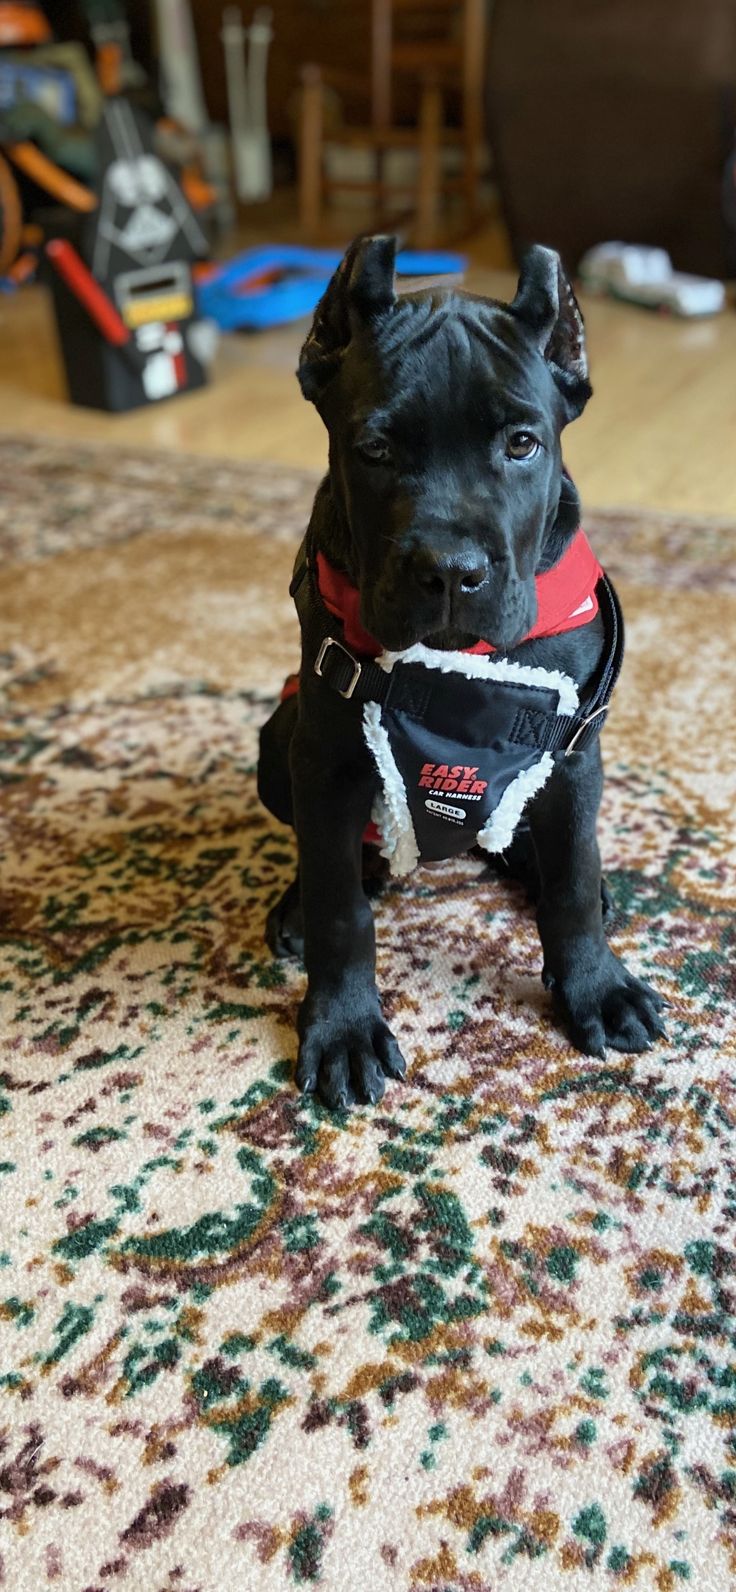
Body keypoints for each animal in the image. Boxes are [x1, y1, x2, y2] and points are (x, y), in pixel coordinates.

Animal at [258, 232, 662, 1108]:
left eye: (522, 444)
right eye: (374, 451)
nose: (450, 571)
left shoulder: (573, 755)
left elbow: (572, 883)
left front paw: (596, 987)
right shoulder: (326, 757)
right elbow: (342, 908)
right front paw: (342, 1027)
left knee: (535, 849)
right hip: (280, 740)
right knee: (345, 861)